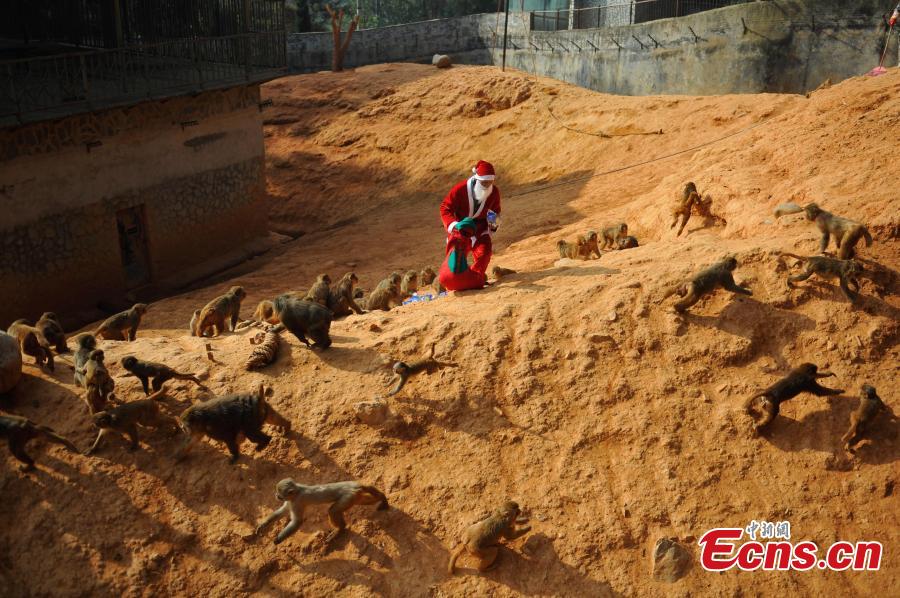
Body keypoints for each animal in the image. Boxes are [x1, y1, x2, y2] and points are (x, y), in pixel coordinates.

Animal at [255, 478, 389, 545]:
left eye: (279, 494)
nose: (276, 496)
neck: (297, 491)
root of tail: (354, 485)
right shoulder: (291, 502)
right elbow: (282, 512)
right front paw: (263, 525)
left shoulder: (297, 502)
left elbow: (297, 521)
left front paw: (277, 540)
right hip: (355, 496)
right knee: (363, 500)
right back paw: (382, 497)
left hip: (348, 496)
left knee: (333, 511)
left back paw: (340, 529)